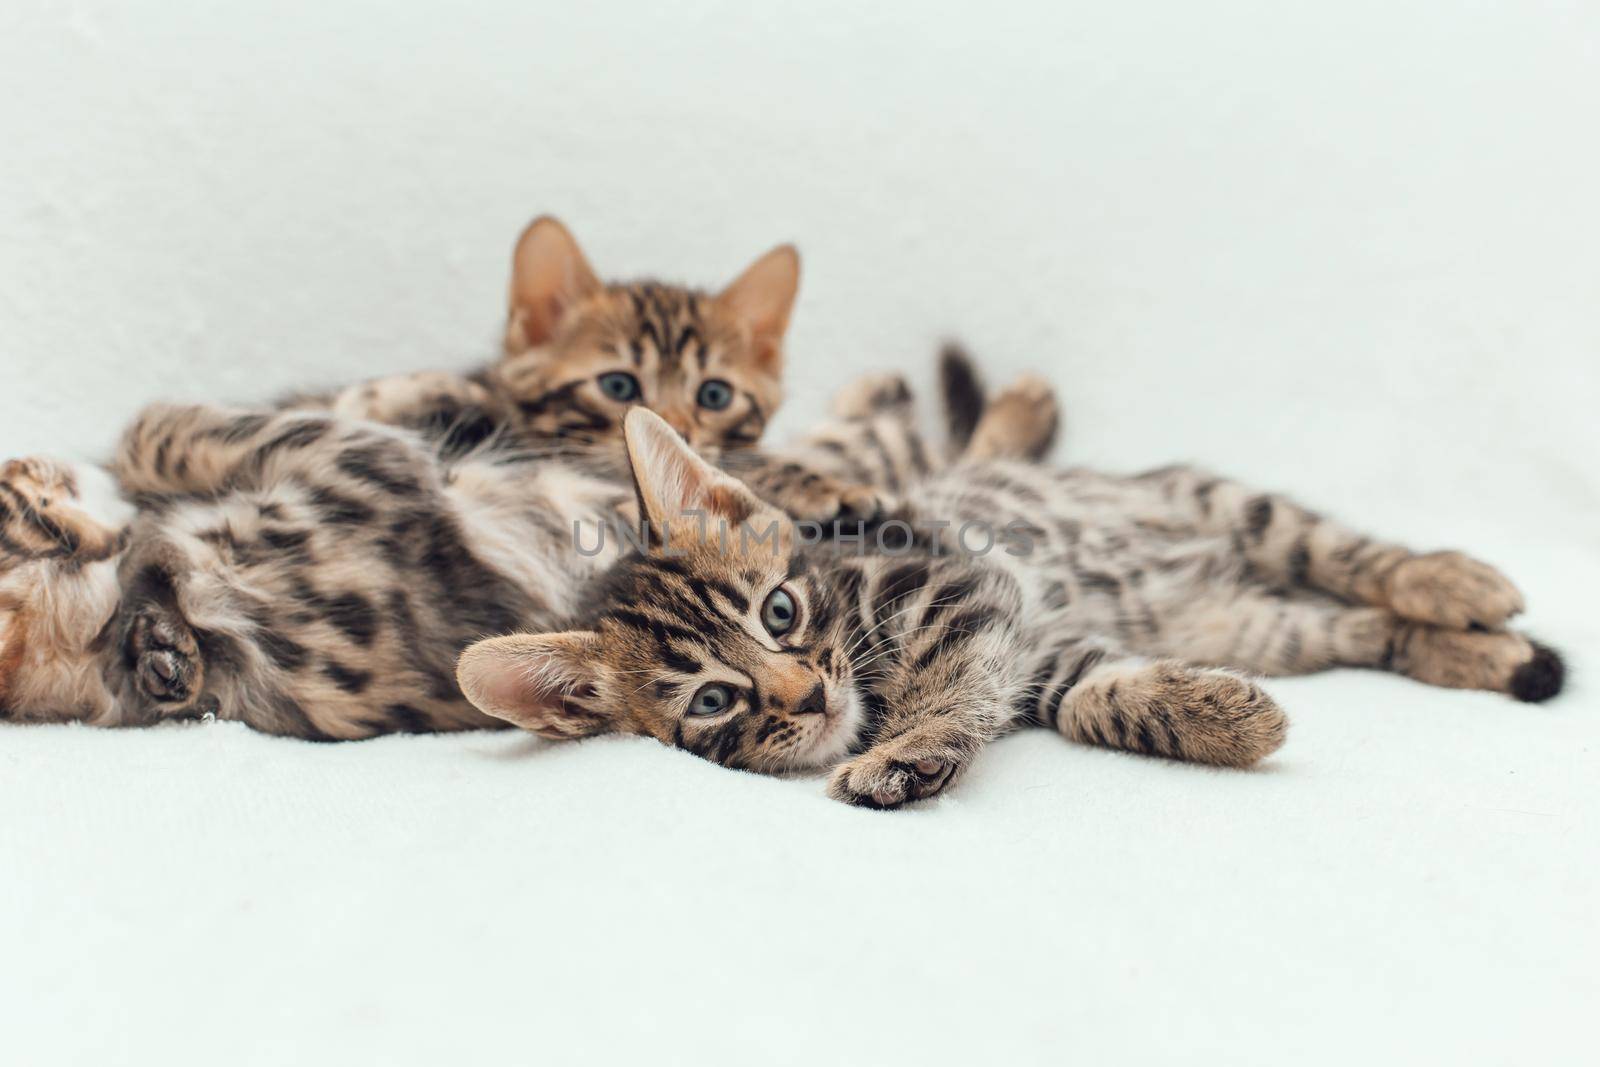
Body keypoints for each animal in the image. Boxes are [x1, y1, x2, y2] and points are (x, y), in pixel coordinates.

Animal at [460, 375, 1561, 809]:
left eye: (779, 610)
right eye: (714, 701)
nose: (806, 695)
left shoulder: (958, 584)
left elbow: (944, 684)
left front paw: (901, 750)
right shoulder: (1040, 652)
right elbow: (1098, 701)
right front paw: (1221, 718)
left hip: (1226, 504)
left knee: (1353, 558)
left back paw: (1454, 580)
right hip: (1257, 622)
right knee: (1357, 625)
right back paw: (1481, 648)